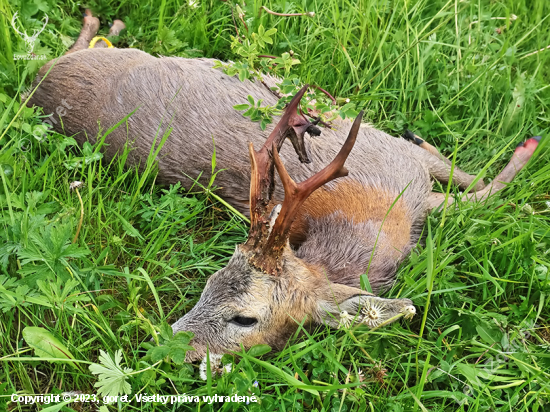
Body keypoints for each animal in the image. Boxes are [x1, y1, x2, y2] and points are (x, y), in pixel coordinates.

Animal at [27, 12, 544, 360]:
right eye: (206, 288)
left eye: (245, 318)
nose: (165, 347)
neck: (377, 220)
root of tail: (40, 90)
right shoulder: (407, 174)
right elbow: (479, 190)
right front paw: (527, 152)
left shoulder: (404, 166)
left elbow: (467, 179)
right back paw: (101, 20)